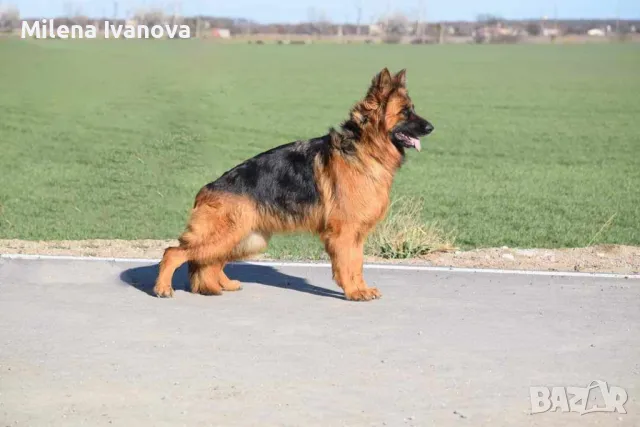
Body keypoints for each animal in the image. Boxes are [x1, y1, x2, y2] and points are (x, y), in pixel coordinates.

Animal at [154, 67, 436, 300]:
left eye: (413, 109)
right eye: (405, 112)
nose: (432, 127)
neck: (365, 149)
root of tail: (207, 189)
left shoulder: (355, 235)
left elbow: (357, 265)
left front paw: (360, 289)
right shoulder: (344, 234)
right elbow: (347, 265)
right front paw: (354, 292)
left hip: (246, 238)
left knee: (209, 261)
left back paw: (220, 285)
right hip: (226, 235)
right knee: (174, 253)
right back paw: (163, 288)